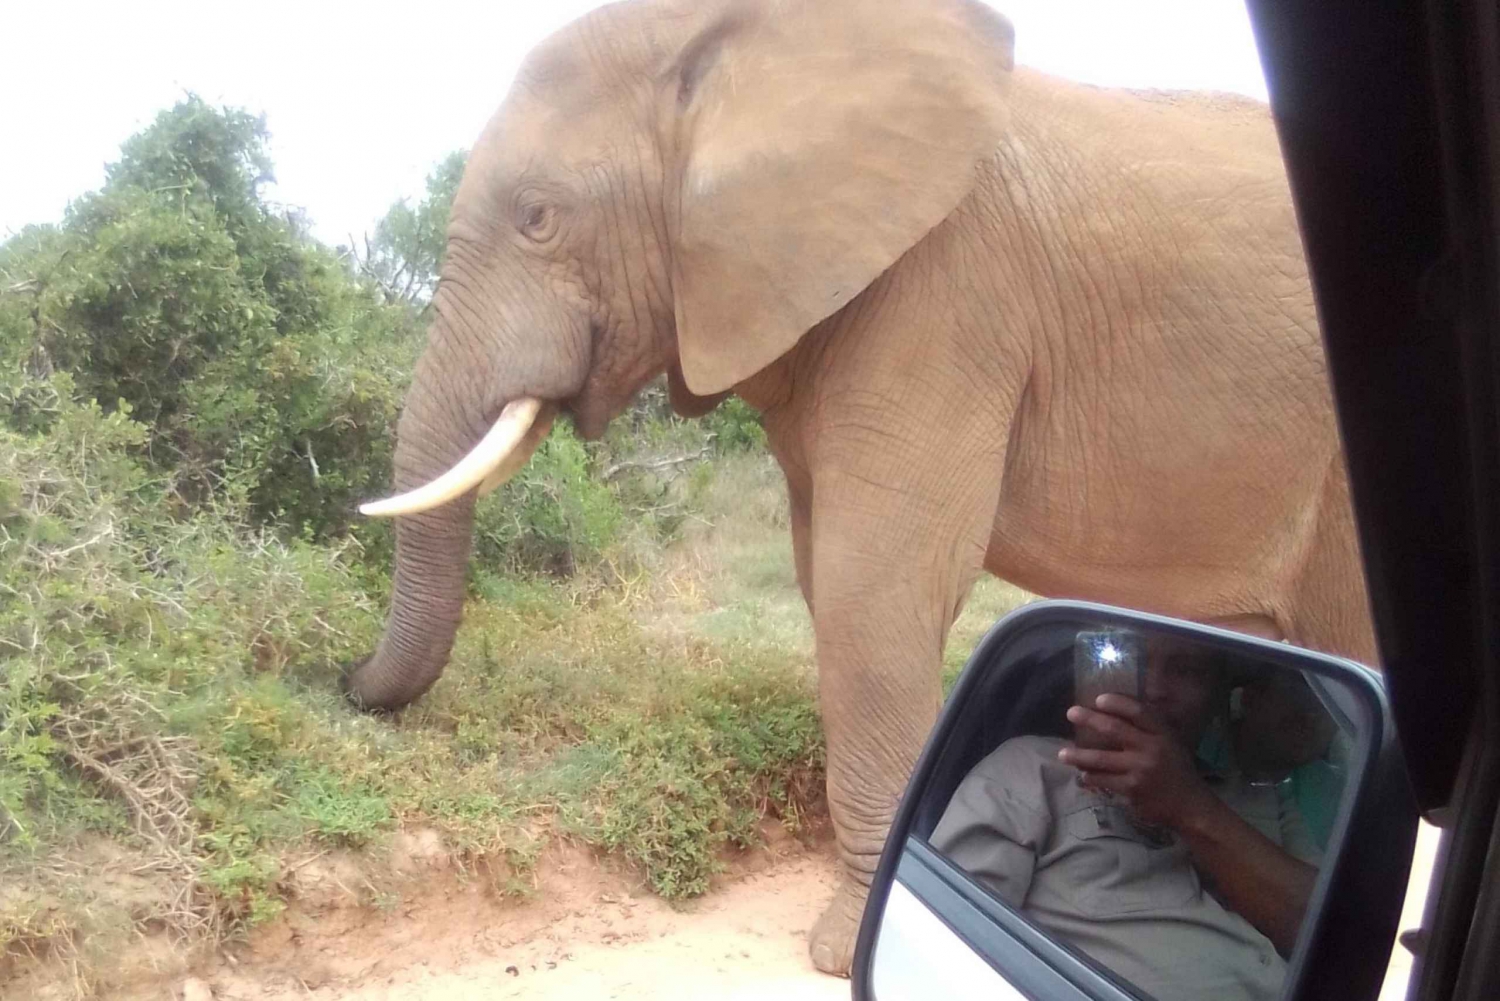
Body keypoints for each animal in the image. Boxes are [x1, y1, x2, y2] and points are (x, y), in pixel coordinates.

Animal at [346, 0, 1375, 976]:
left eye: (538, 216)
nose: (344, 681)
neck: (717, 40)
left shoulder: (946, 292)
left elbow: (869, 590)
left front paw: (847, 948)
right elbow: (827, 576)